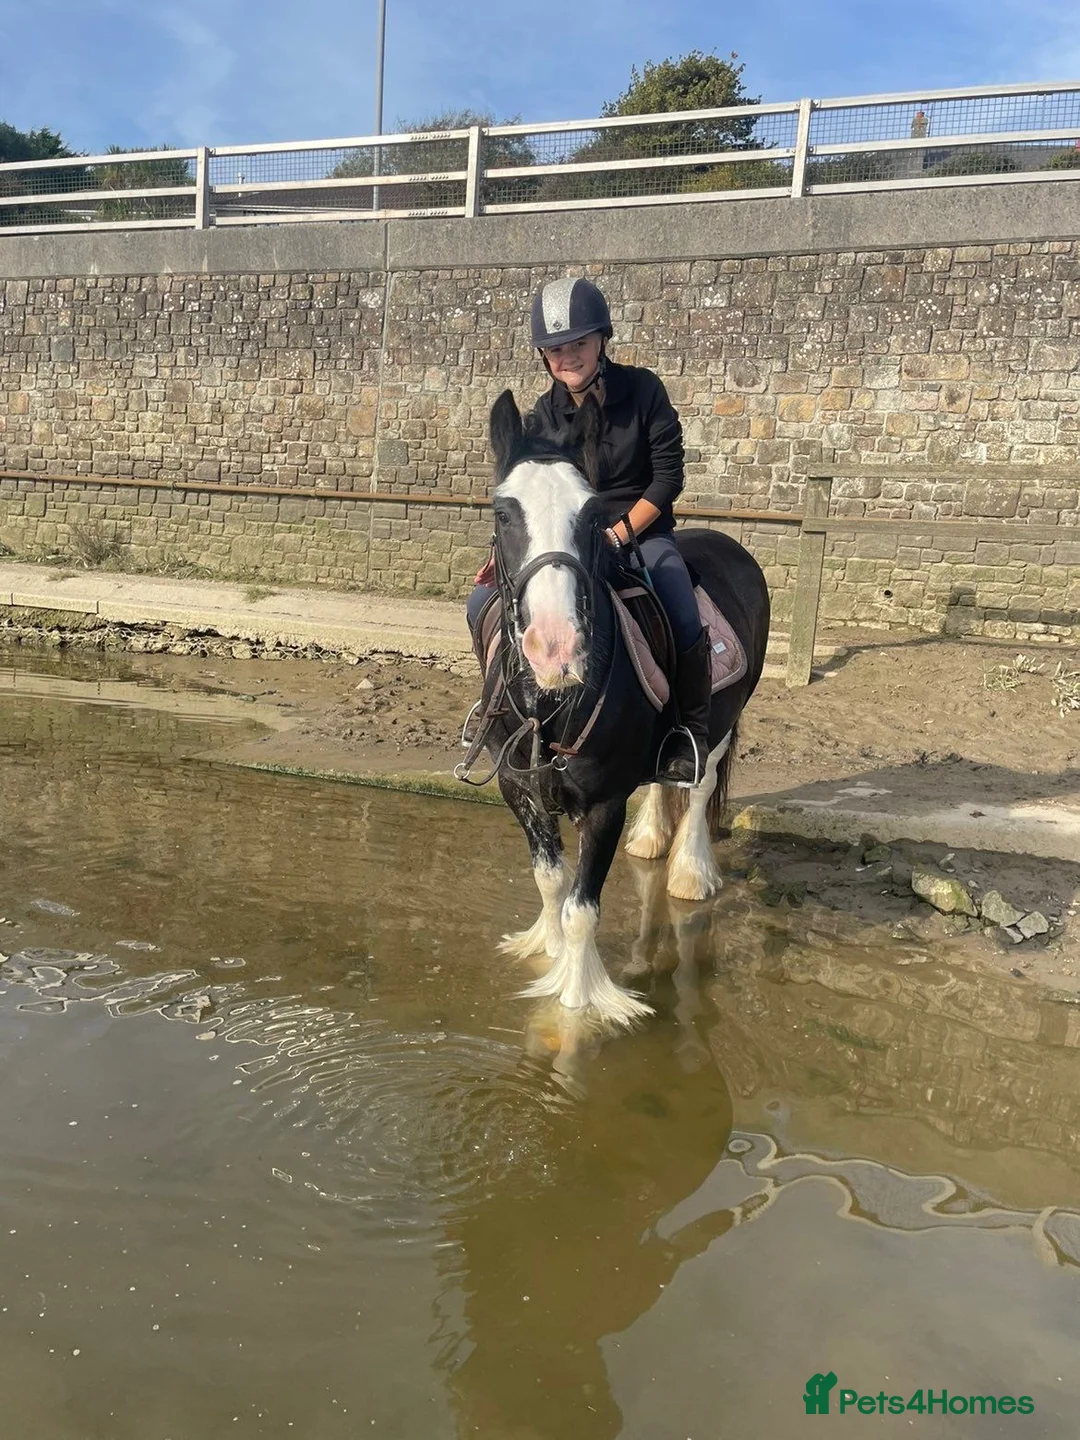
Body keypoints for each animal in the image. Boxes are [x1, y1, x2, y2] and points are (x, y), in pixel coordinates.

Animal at [465, 388, 770, 1028]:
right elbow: (550, 880)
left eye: (592, 515)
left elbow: (582, 908)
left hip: (724, 718)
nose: (556, 649)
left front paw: (577, 1002)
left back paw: (689, 873)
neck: (551, 700)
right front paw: (546, 952)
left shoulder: (603, 802)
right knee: (663, 778)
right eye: (503, 513)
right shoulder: (517, 787)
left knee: (701, 783)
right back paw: (651, 838)